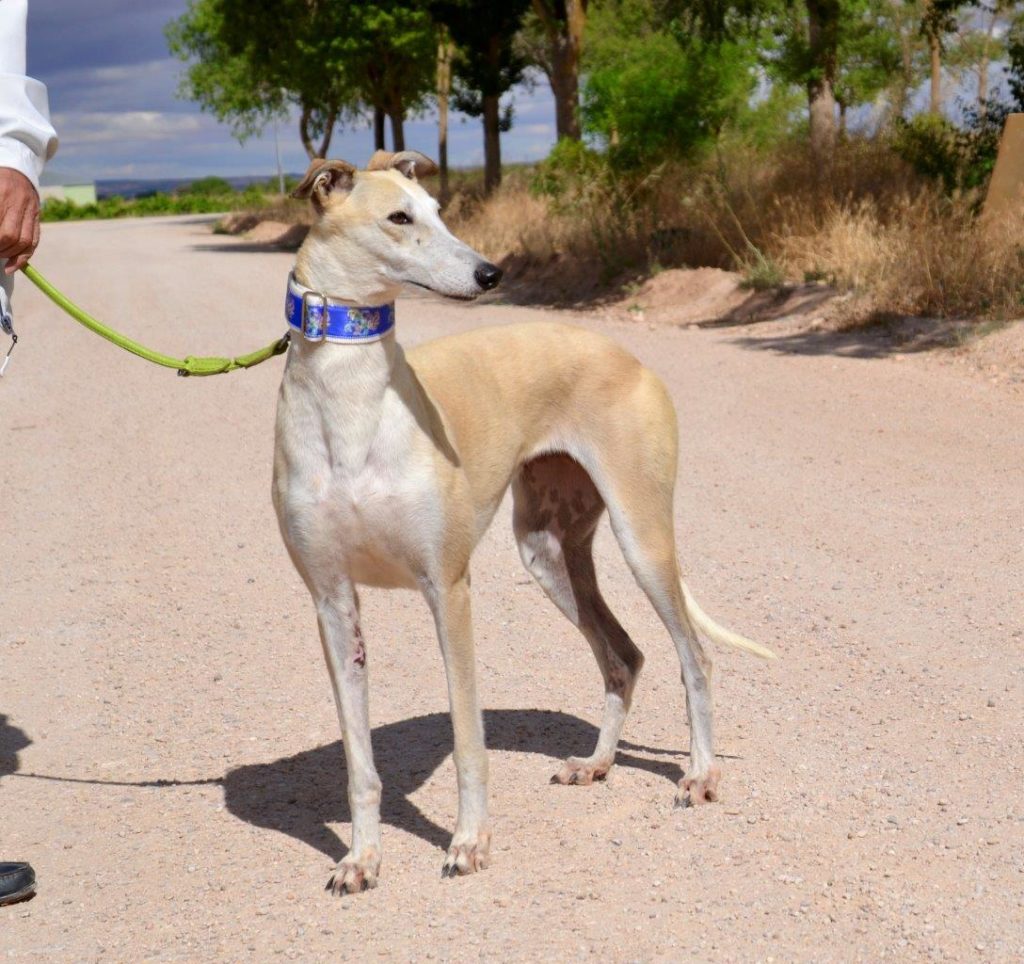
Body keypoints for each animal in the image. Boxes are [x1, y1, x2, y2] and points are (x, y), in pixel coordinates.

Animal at [274, 148, 774, 893]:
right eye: (399, 217)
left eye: (440, 211)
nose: (491, 273)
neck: (353, 404)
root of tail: (629, 355)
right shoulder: (333, 602)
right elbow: (360, 762)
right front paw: (361, 858)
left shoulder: (447, 588)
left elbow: (467, 738)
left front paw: (469, 843)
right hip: (548, 552)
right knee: (624, 655)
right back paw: (596, 763)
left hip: (641, 537)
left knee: (696, 656)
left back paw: (701, 775)